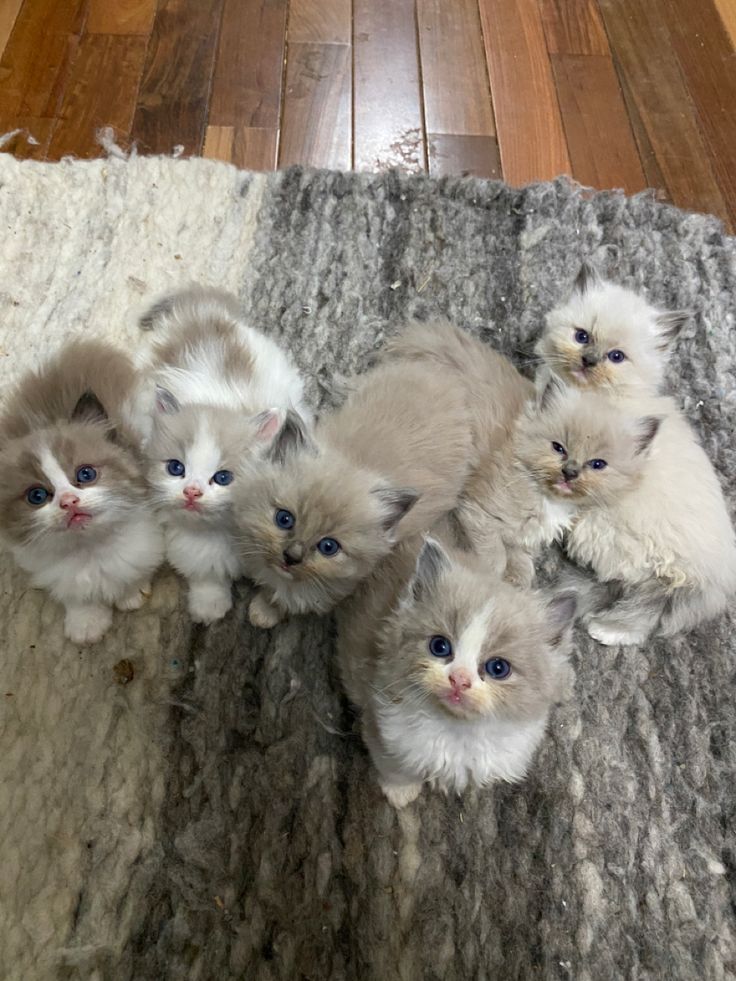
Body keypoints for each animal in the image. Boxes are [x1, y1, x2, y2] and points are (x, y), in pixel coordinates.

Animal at [0, 340, 162, 648]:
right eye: (37, 496)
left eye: (85, 474)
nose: (68, 501)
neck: (91, 550)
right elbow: (76, 596)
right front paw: (86, 622)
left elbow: (135, 571)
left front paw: (131, 594)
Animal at [139, 284, 308, 620]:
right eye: (176, 469)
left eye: (223, 477)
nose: (192, 492)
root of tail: (201, 311)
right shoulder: (195, 545)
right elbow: (205, 572)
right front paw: (210, 607)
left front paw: (265, 613)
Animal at [336, 524, 576, 808]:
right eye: (439, 646)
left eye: (498, 668)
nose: (459, 679)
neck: (459, 731)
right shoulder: (382, 726)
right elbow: (394, 766)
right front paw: (401, 793)